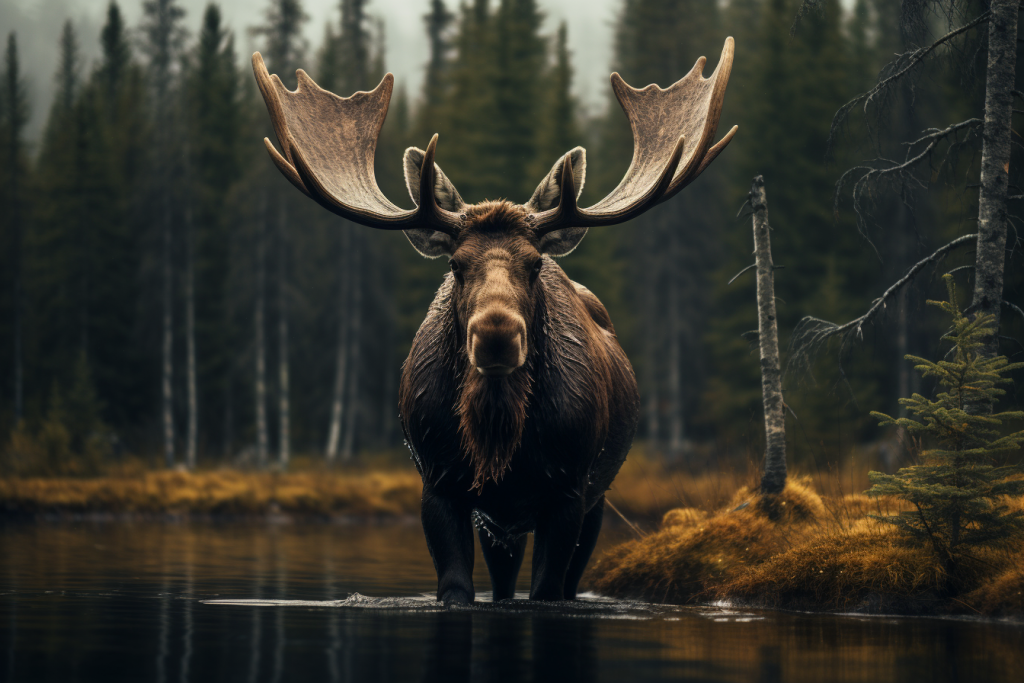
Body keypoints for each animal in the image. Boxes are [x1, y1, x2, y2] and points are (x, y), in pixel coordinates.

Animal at [252, 37, 735, 604]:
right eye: (456, 266)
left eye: (536, 264)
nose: (497, 336)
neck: (498, 436)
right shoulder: (439, 486)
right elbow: (457, 587)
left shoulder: (570, 492)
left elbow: (548, 590)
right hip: (501, 525)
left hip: (595, 500)